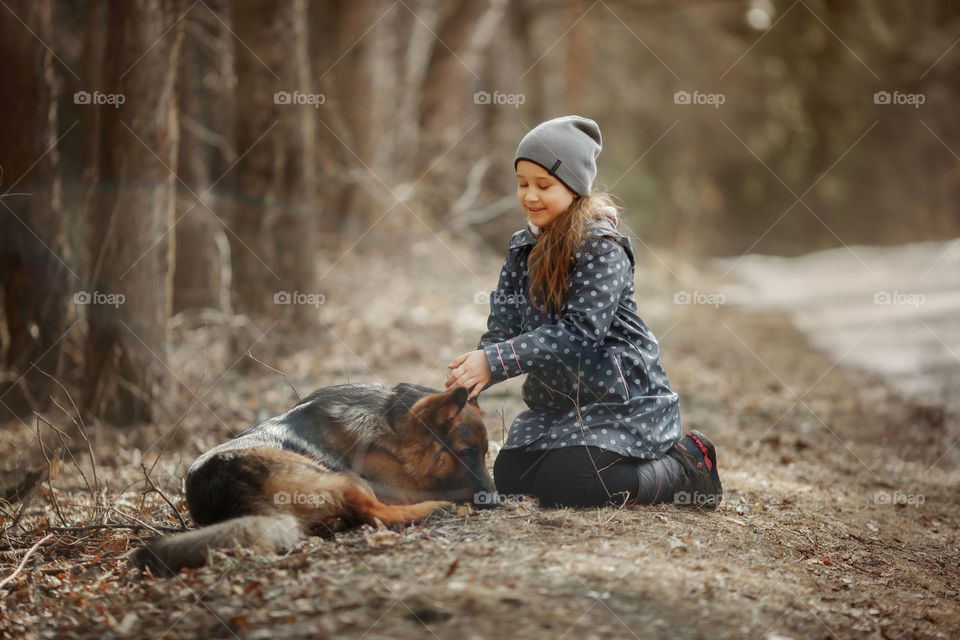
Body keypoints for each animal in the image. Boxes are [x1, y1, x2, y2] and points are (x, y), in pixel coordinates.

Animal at [131, 380, 492, 576]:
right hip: (342, 478)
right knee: (377, 513)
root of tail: (234, 490)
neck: (392, 425)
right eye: (466, 453)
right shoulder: (399, 487)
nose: (494, 499)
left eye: (485, 452)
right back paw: (435, 507)